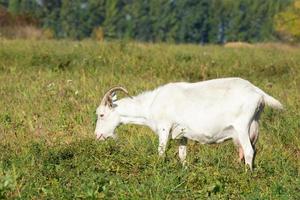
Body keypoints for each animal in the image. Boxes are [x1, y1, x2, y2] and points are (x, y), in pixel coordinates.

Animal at [95, 77, 282, 170]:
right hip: (253, 128)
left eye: (101, 114)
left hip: (242, 126)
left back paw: (247, 176)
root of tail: (258, 93)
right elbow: (182, 155)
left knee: (249, 151)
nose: (97, 136)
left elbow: (161, 151)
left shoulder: (165, 127)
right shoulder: (181, 134)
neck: (151, 104)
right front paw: (184, 172)